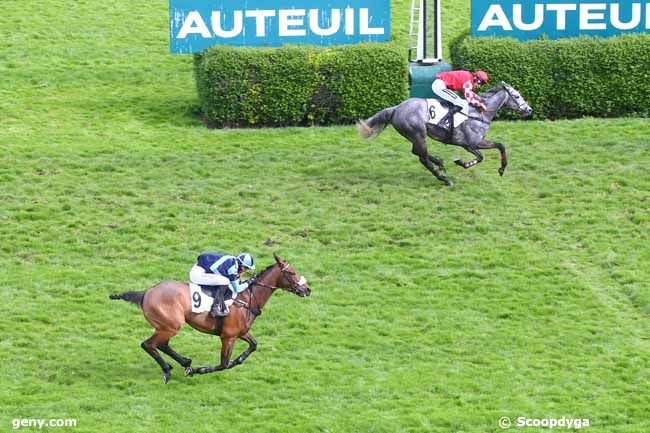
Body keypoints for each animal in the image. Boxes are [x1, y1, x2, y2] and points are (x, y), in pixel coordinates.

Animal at [109, 253, 312, 382]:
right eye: (292, 272)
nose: (307, 289)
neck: (247, 297)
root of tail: (145, 293)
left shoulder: (240, 332)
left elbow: (252, 346)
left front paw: (237, 360)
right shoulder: (228, 337)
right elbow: (224, 364)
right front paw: (201, 370)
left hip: (166, 326)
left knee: (161, 344)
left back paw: (184, 363)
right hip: (171, 325)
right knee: (149, 344)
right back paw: (169, 370)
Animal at [354, 81, 532, 186]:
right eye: (517, 96)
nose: (529, 109)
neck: (479, 113)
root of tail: (396, 108)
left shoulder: (474, 143)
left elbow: (500, 145)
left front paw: (501, 169)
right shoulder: (470, 144)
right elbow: (483, 156)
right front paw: (464, 164)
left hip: (414, 135)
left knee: (418, 153)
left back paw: (439, 163)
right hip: (417, 134)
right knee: (422, 158)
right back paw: (444, 179)